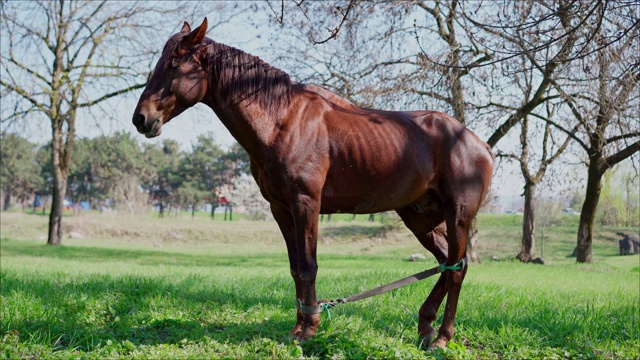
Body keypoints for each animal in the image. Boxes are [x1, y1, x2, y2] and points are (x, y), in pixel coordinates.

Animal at [132, 18, 496, 348]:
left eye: (175, 64)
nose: (141, 119)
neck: (283, 120)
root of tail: (479, 144)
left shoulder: (306, 202)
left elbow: (309, 266)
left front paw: (308, 330)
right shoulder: (280, 209)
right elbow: (296, 268)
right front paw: (298, 326)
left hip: (457, 214)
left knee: (456, 269)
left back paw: (442, 337)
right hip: (420, 216)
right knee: (447, 264)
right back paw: (425, 326)